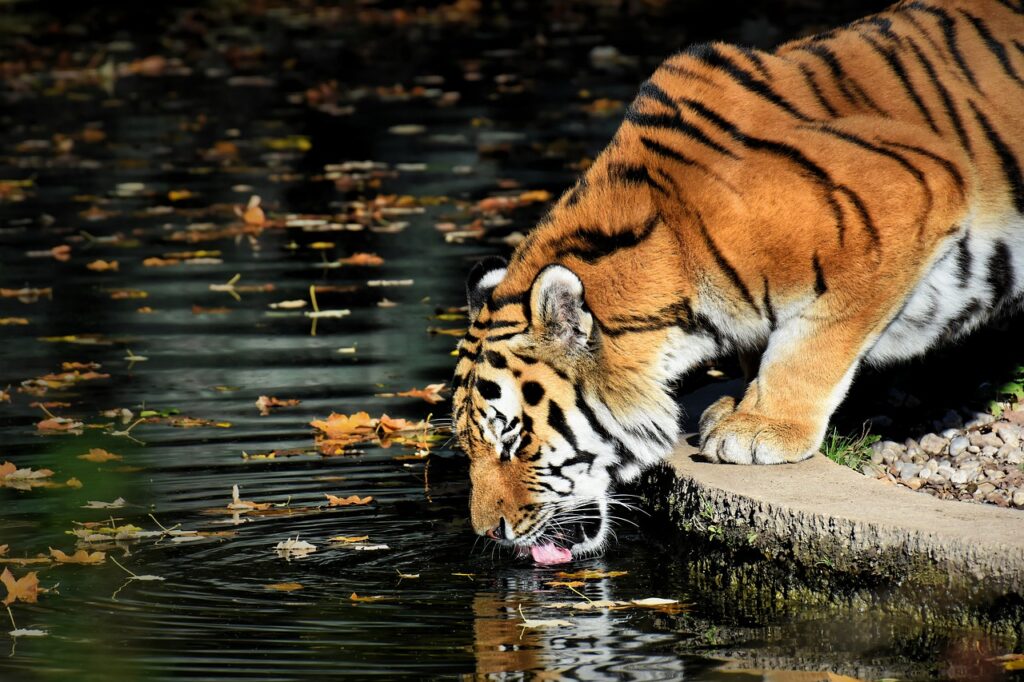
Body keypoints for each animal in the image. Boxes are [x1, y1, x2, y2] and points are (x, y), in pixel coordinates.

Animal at [454, 0, 1024, 561]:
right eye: (467, 444)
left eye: (512, 442)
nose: (488, 532)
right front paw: (739, 405)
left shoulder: (910, 193)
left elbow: (813, 343)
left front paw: (763, 427)